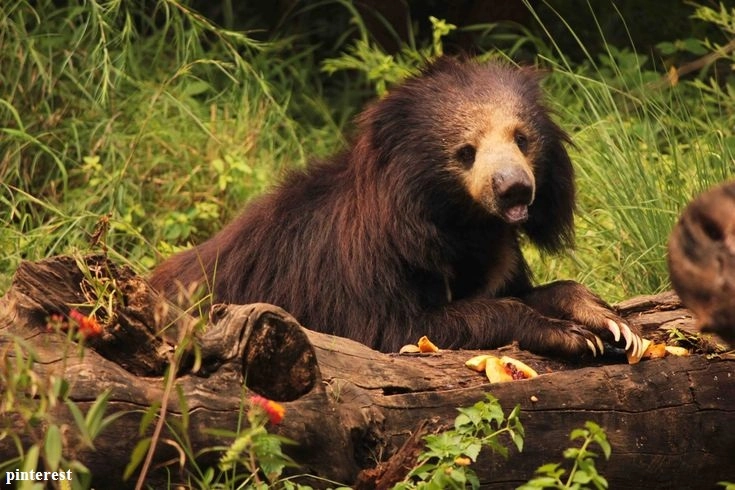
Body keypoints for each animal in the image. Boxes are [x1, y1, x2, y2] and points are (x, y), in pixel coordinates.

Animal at [151, 57, 644, 360]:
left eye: (522, 137)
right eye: (466, 151)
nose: (516, 190)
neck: (460, 221)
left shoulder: (498, 255)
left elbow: (518, 289)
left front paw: (611, 323)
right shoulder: (368, 269)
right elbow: (400, 329)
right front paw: (572, 336)